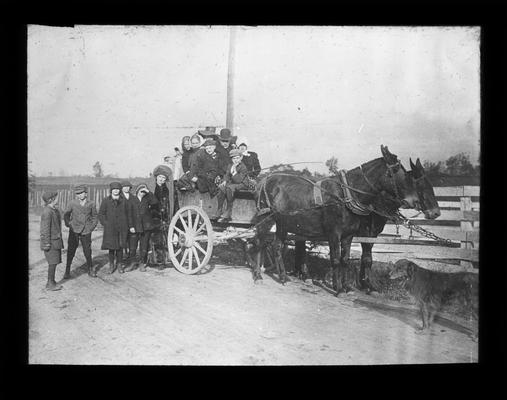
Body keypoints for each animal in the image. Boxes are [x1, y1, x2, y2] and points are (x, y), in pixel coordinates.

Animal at [250, 145, 440, 296]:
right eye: (395, 172)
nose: (412, 201)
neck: (346, 195)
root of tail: (264, 180)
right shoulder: (335, 234)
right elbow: (336, 259)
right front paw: (339, 288)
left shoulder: (349, 235)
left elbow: (346, 260)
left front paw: (347, 286)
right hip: (265, 219)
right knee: (259, 242)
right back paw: (258, 275)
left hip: (283, 223)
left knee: (277, 247)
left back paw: (283, 277)